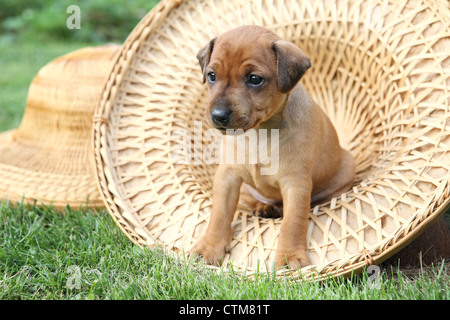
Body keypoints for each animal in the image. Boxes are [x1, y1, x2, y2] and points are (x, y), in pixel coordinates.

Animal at [190, 26, 356, 268]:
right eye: (212, 75)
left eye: (254, 79)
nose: (218, 116)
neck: (259, 132)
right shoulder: (227, 176)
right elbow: (219, 213)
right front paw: (209, 247)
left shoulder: (296, 184)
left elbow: (292, 223)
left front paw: (290, 257)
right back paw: (265, 207)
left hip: (345, 169)